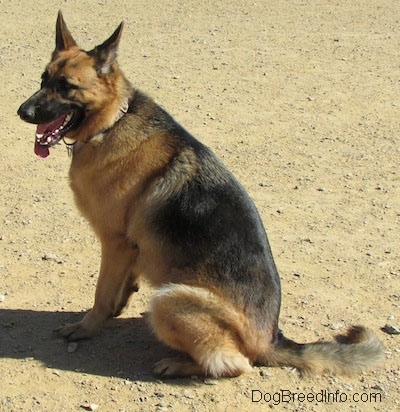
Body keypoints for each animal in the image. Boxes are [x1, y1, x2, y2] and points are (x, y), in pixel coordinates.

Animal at [16, 12, 384, 380]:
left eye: (66, 86)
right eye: (43, 79)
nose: (23, 112)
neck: (112, 122)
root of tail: (271, 338)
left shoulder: (115, 242)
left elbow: (101, 295)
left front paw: (86, 327)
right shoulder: (130, 248)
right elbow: (123, 287)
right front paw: (119, 306)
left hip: (169, 299)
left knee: (235, 364)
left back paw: (178, 364)